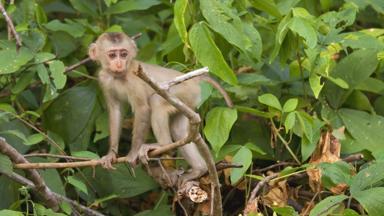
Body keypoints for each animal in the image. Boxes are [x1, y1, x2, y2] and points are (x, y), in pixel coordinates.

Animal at [88, 32, 232, 184]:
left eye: (123, 54)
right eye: (112, 55)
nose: (119, 63)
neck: (118, 76)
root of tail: (192, 79)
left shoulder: (134, 78)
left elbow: (142, 109)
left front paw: (133, 153)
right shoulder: (104, 79)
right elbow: (115, 111)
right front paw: (111, 154)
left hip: (185, 91)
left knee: (156, 101)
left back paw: (164, 145)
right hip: (189, 102)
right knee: (180, 131)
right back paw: (199, 169)